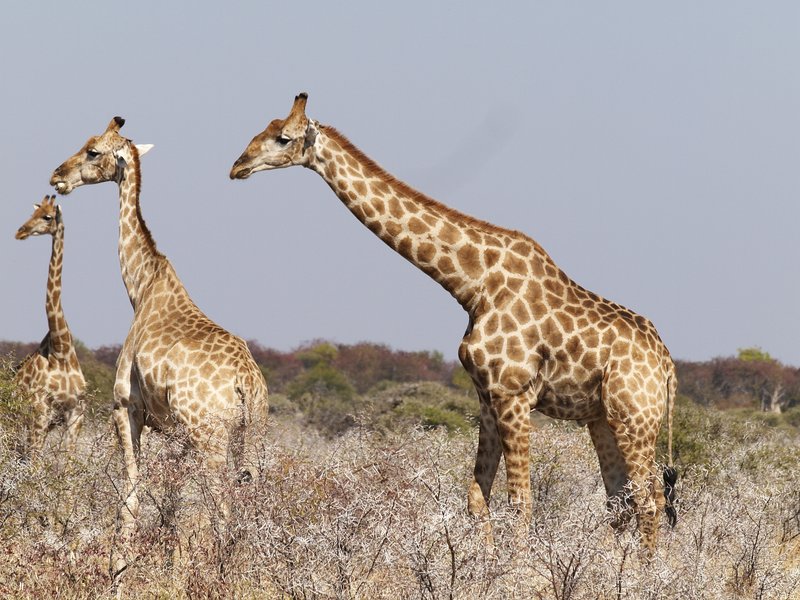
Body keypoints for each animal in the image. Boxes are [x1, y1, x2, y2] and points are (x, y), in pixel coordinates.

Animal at [13, 195, 86, 461]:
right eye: (32, 213)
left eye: (47, 216)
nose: (20, 231)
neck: (61, 347)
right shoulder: (40, 411)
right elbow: (35, 464)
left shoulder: (76, 413)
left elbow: (69, 463)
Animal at [50, 117, 269, 571]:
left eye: (93, 151)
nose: (57, 176)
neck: (142, 286)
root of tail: (246, 381)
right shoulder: (174, 432)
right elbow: (170, 498)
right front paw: (165, 559)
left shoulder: (125, 406)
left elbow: (133, 488)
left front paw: (120, 563)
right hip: (252, 433)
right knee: (249, 496)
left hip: (211, 436)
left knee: (221, 503)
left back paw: (218, 570)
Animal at [230, 93, 678, 553]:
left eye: (283, 138)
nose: (237, 166)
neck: (472, 286)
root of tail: (667, 367)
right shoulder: (487, 398)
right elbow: (476, 498)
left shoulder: (514, 396)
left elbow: (520, 502)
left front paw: (520, 569)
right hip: (601, 418)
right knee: (622, 502)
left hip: (635, 416)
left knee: (649, 500)